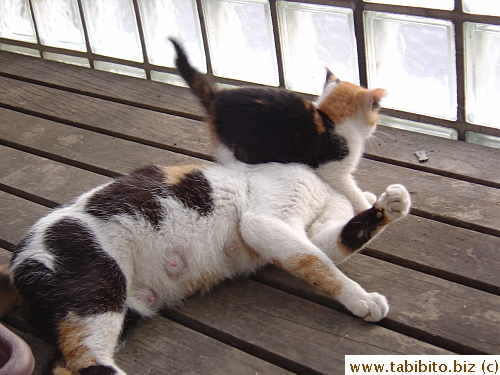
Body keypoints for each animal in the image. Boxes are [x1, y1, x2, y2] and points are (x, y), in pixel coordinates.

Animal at [0, 160, 410, 374]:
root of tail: (17, 259)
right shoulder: (265, 223)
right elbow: (318, 263)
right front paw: (362, 298)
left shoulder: (317, 231)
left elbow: (335, 245)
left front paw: (389, 206)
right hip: (97, 285)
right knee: (82, 361)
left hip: (122, 309)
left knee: (64, 364)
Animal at [171, 39, 386, 214]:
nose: (375, 127)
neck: (331, 119)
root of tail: (218, 99)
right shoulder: (332, 168)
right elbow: (349, 189)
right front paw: (366, 205)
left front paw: (366, 196)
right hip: (236, 149)